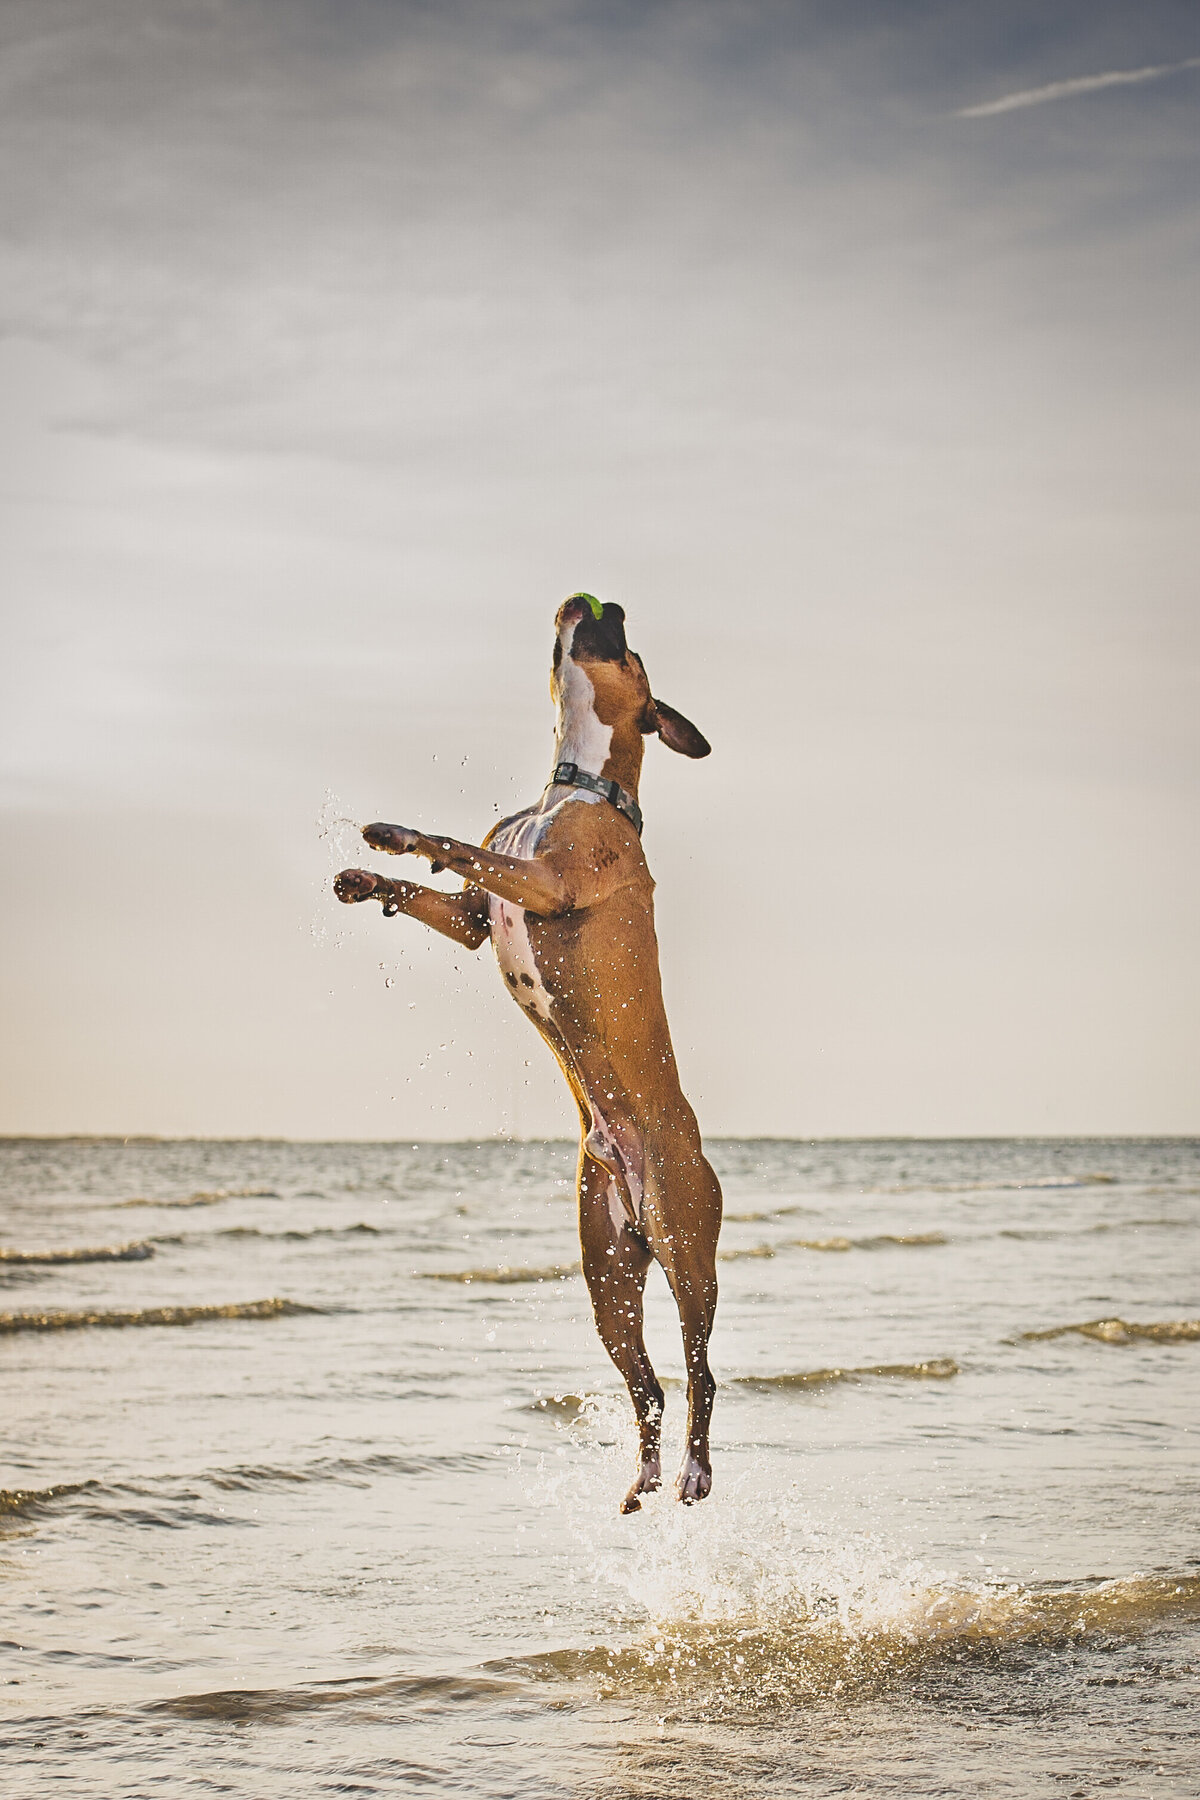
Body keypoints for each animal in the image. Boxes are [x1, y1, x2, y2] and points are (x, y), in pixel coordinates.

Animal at [341, 594, 726, 1504]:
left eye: (628, 642)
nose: (598, 597)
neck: (576, 786)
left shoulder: (545, 885)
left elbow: (460, 845)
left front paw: (399, 832)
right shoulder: (474, 920)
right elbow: (444, 887)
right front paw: (366, 879)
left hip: (685, 1245)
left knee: (700, 1368)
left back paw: (694, 1468)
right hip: (607, 1274)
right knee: (647, 1383)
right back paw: (643, 1472)